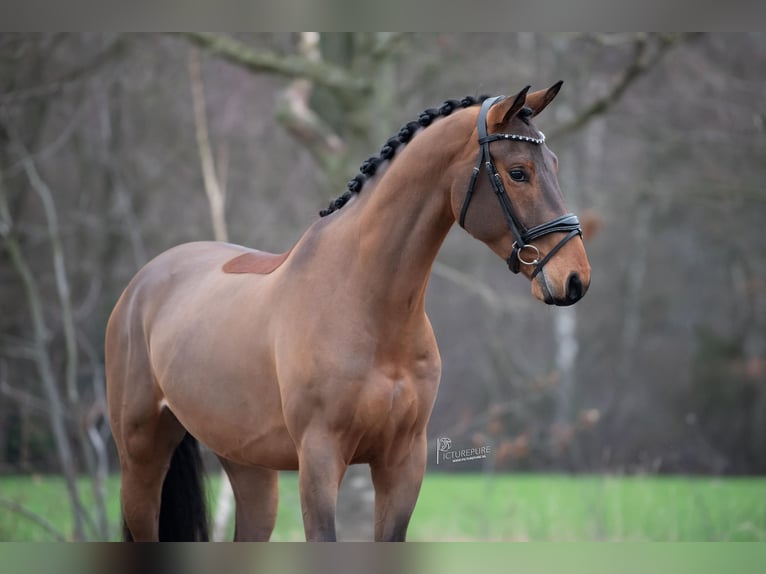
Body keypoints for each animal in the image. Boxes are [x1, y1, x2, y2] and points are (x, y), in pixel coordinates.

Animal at [105, 82, 591, 542]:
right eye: (518, 173)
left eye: (555, 165)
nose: (575, 278)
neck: (366, 304)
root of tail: (141, 285)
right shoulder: (320, 460)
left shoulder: (403, 462)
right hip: (141, 460)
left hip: (249, 467)